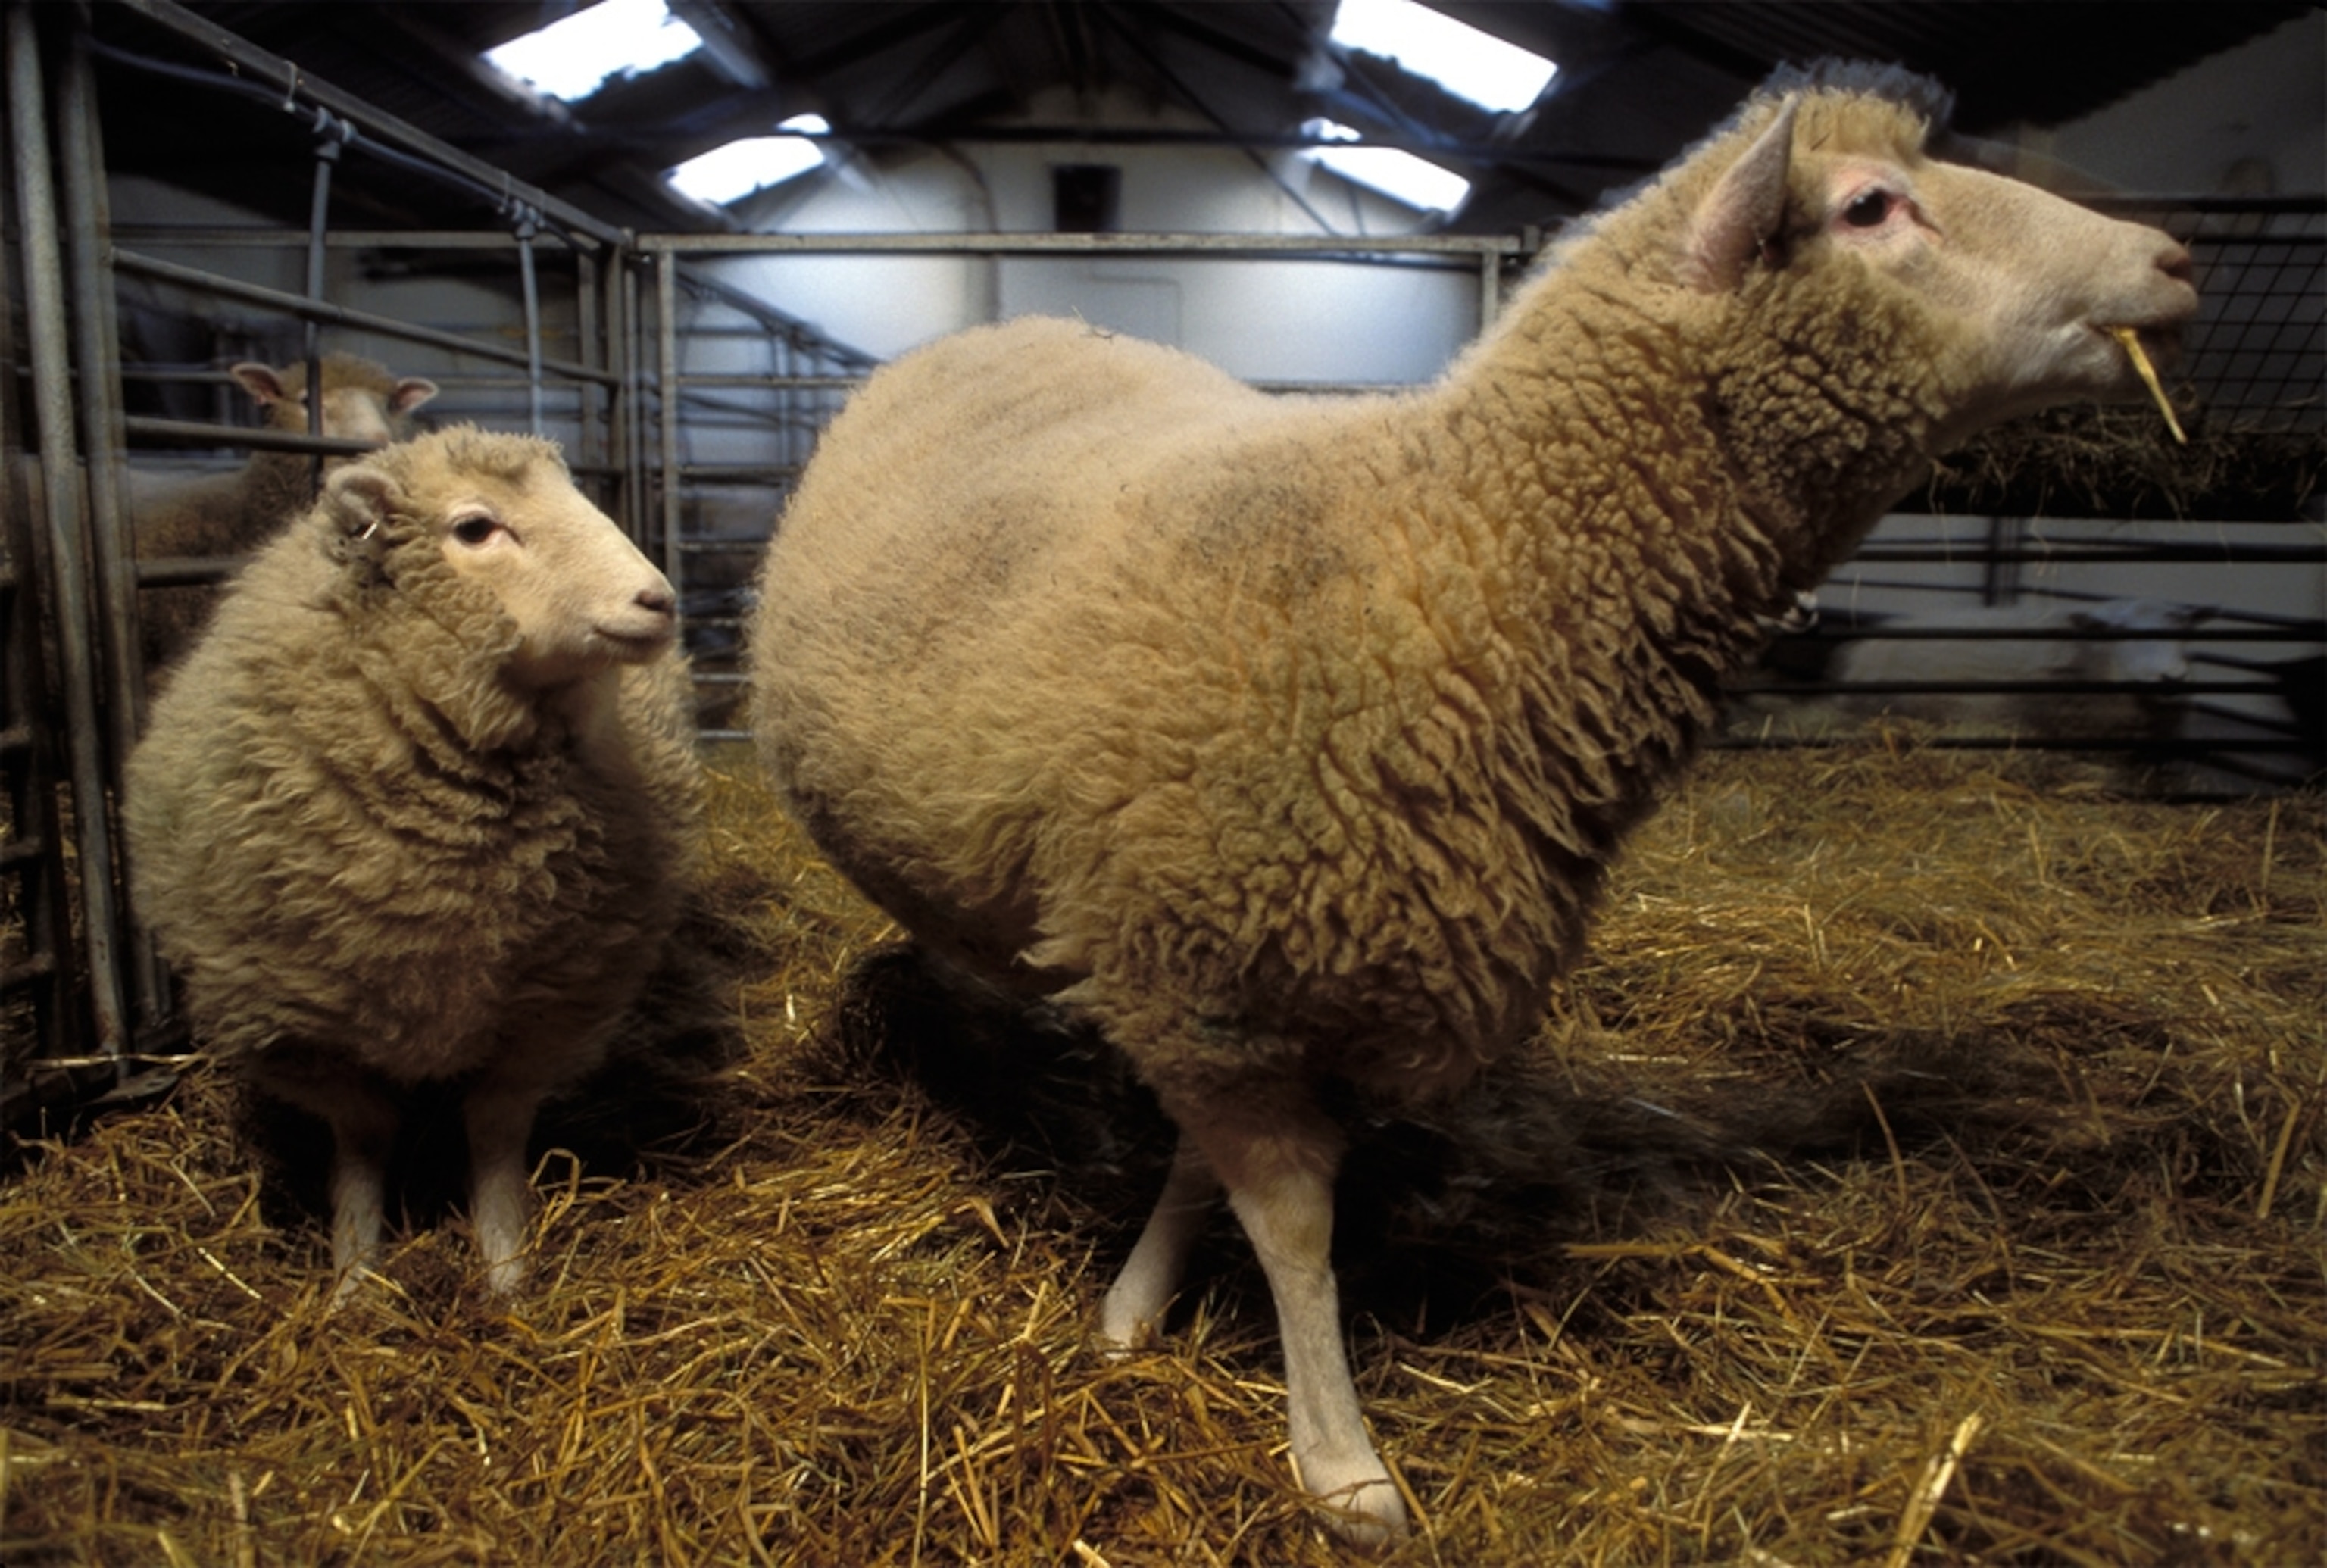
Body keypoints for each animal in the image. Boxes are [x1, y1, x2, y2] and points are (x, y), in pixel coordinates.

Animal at [124, 425, 699, 1303]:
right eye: (474, 528)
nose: (657, 601)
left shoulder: (546, 1008)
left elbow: (493, 1135)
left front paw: (506, 1272)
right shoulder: (305, 1025)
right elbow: (364, 1140)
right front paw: (355, 1279)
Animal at [746, 62, 2197, 1544]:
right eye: (1869, 207)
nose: (2171, 261)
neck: (1454, 558)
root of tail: (1016, 317)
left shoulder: (1260, 970)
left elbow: (1208, 1171)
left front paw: (1134, 1311)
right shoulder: (1205, 960)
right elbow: (1295, 1223)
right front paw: (1342, 1468)